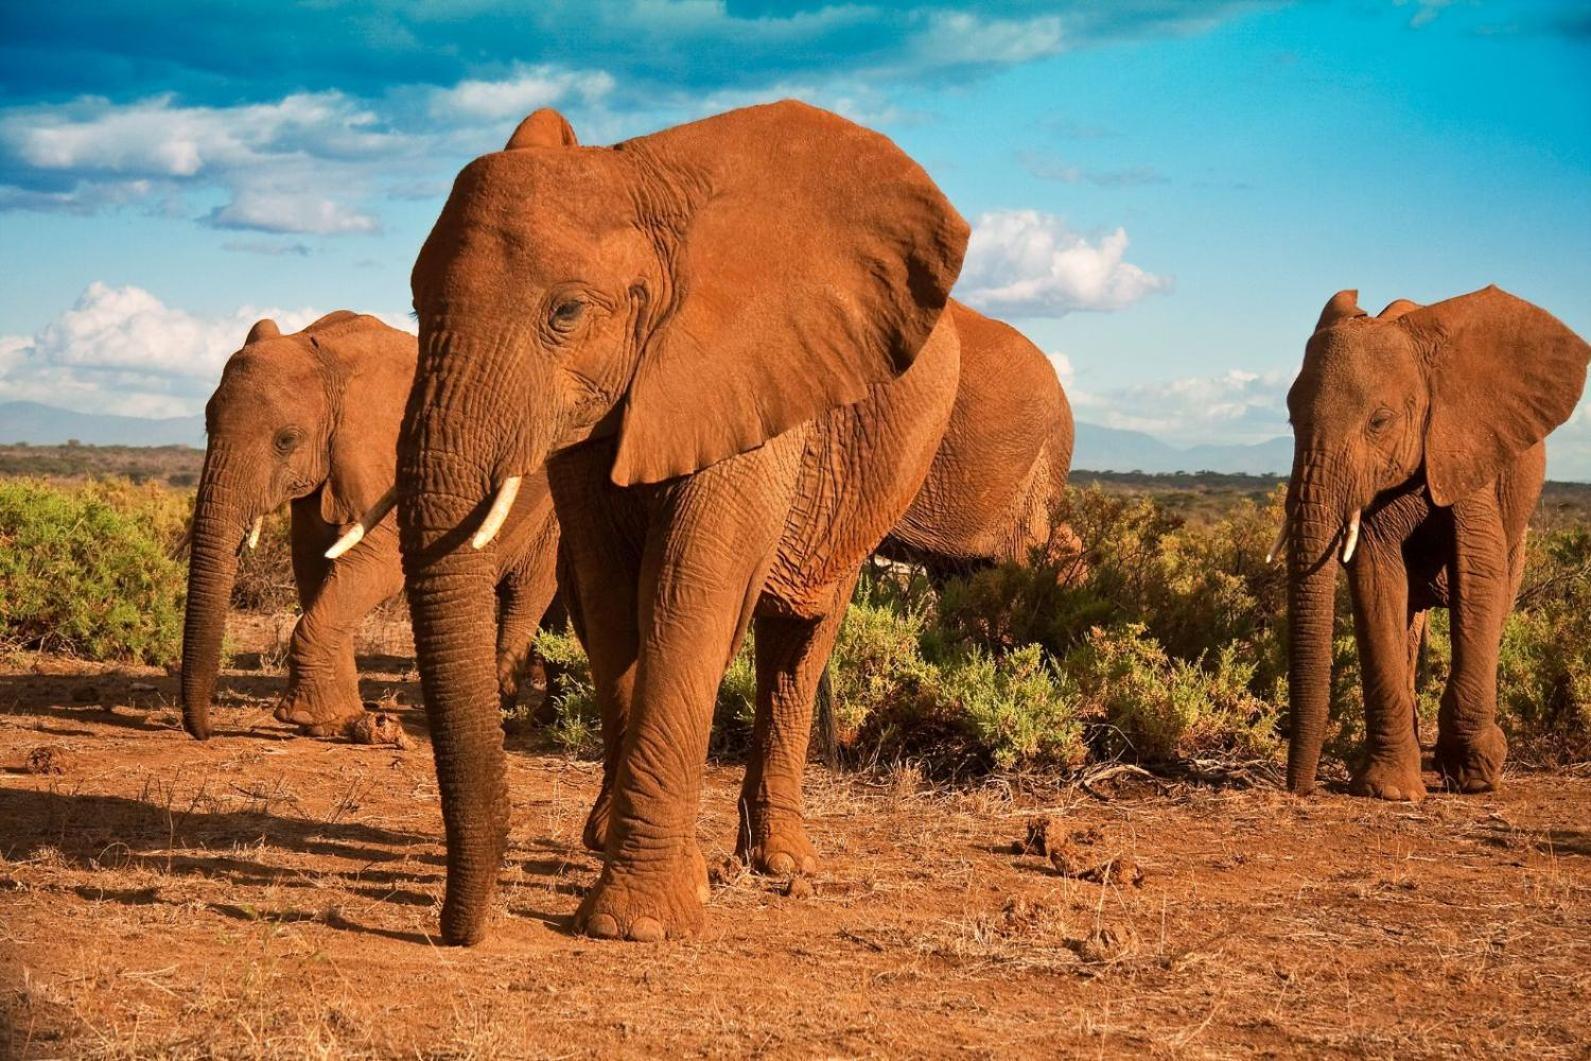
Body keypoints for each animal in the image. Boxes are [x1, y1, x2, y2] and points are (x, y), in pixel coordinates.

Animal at [179, 314, 563, 744]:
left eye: (286, 440)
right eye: (207, 425)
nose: (204, 732)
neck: (331, 359)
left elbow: (378, 564)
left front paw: (305, 716)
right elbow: (313, 564)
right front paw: (335, 721)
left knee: (527, 591)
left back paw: (506, 716)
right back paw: (547, 717)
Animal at [397, 101, 967, 948]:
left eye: (566, 311)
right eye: (414, 305)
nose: (455, 930)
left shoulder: (748, 377)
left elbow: (690, 588)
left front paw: (635, 924)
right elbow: (609, 598)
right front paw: (646, 873)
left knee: (798, 637)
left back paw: (780, 862)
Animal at [1279, 286, 1591, 801]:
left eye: (1379, 421)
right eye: (1290, 419)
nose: (1299, 788)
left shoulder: (1466, 444)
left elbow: (1479, 571)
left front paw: (1476, 775)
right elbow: (1375, 578)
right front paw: (1388, 790)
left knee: (1499, 593)